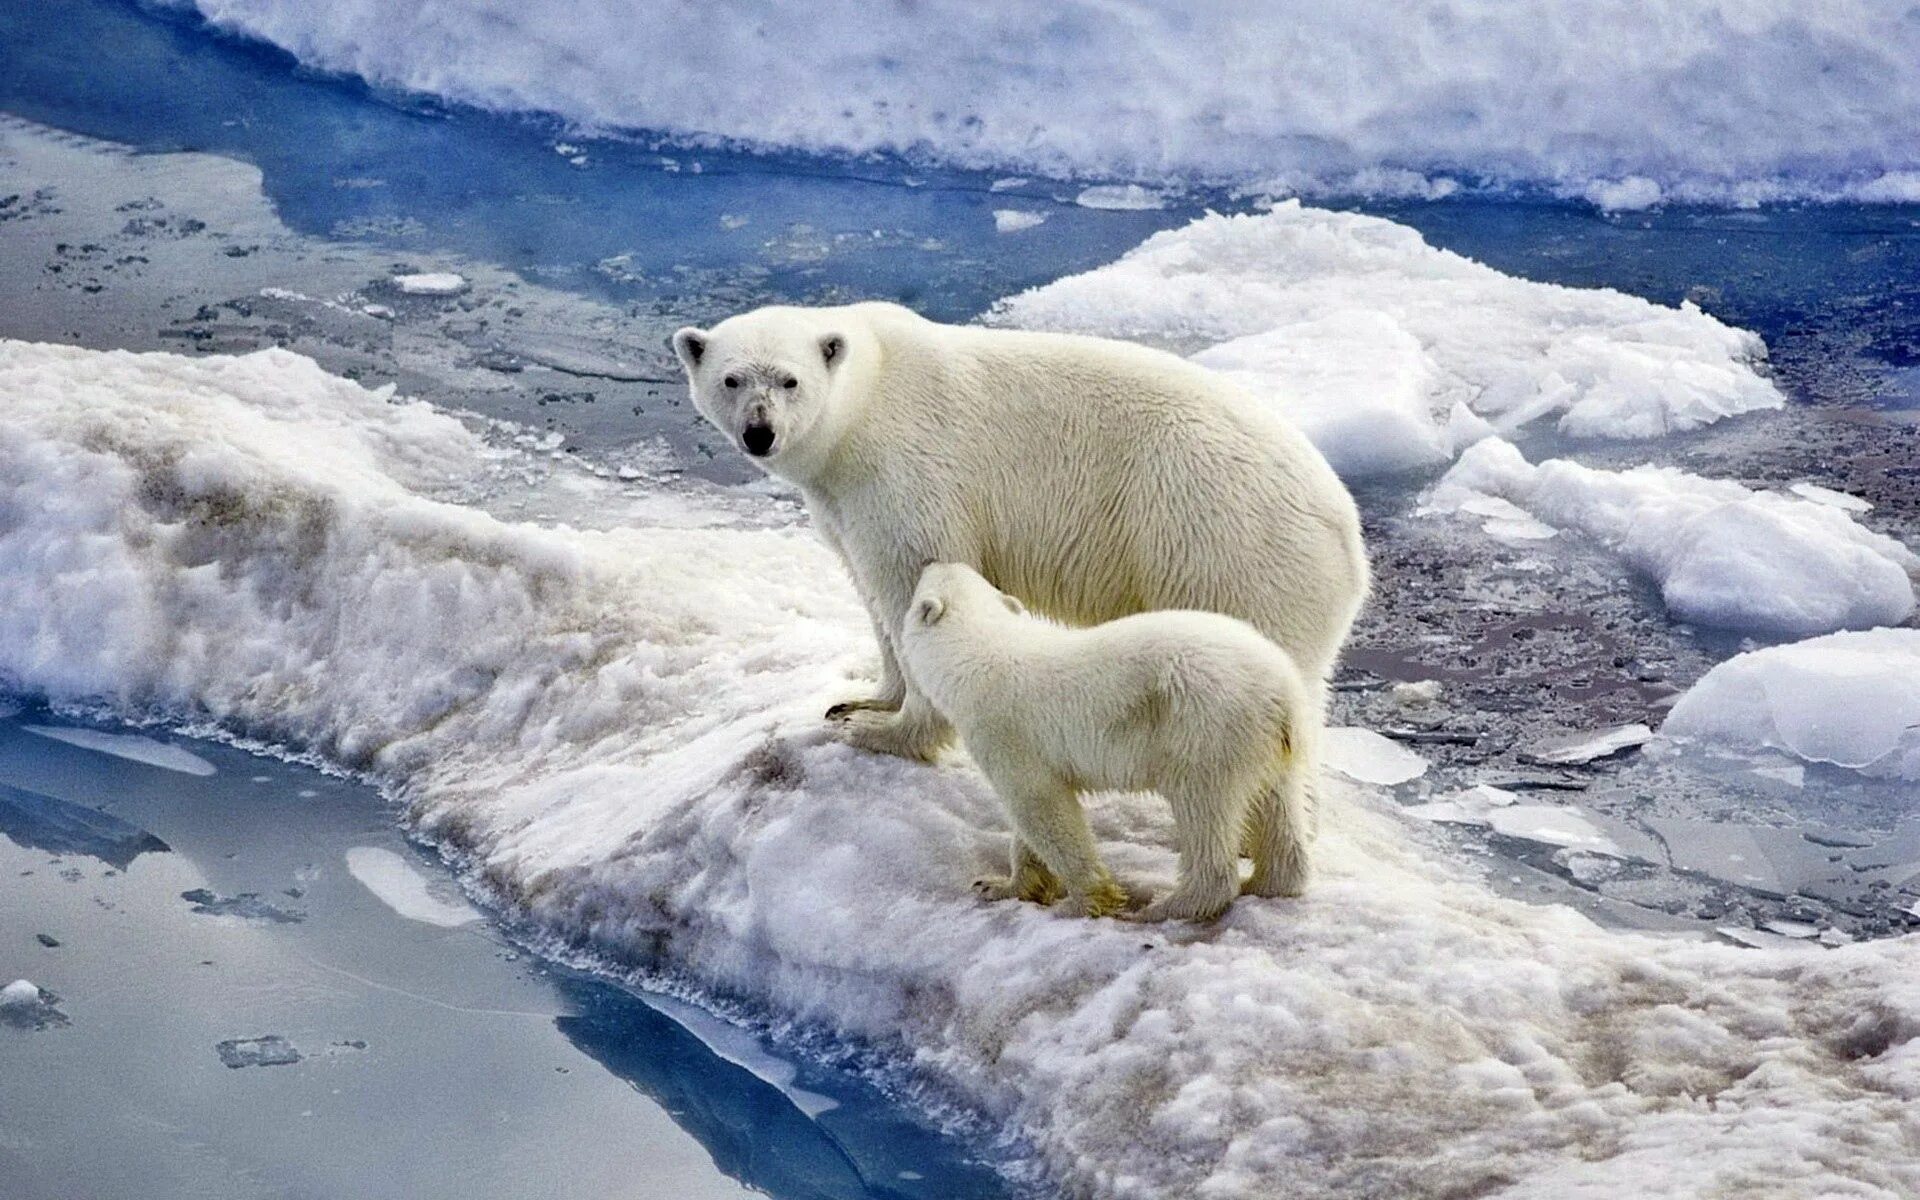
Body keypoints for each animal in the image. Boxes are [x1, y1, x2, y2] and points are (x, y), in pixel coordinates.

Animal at [675, 299, 1367, 898]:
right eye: (732, 379)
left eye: (789, 381)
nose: (759, 433)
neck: (864, 400)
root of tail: (1349, 538)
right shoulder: (840, 500)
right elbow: (870, 592)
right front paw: (861, 701)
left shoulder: (905, 472)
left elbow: (909, 579)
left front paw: (885, 732)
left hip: (1221, 548)